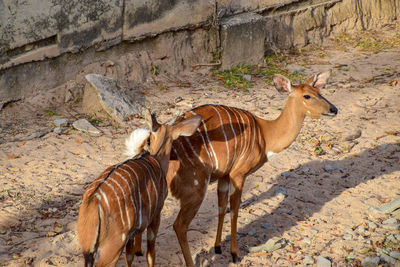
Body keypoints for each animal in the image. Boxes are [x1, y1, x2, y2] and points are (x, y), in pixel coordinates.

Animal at [77, 112, 202, 266]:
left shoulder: (132, 232)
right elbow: (151, 253)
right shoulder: (156, 214)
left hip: (89, 250)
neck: (156, 159)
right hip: (112, 248)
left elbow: (129, 256)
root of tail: (94, 199)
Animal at [132, 71, 338, 266]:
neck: (265, 135)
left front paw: (217, 247)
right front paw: (234, 253)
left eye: (320, 92)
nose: (334, 109)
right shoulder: (238, 173)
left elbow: (222, 207)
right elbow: (235, 209)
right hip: (196, 188)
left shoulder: (224, 175)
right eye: (307, 96)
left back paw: (138, 251)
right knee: (179, 225)